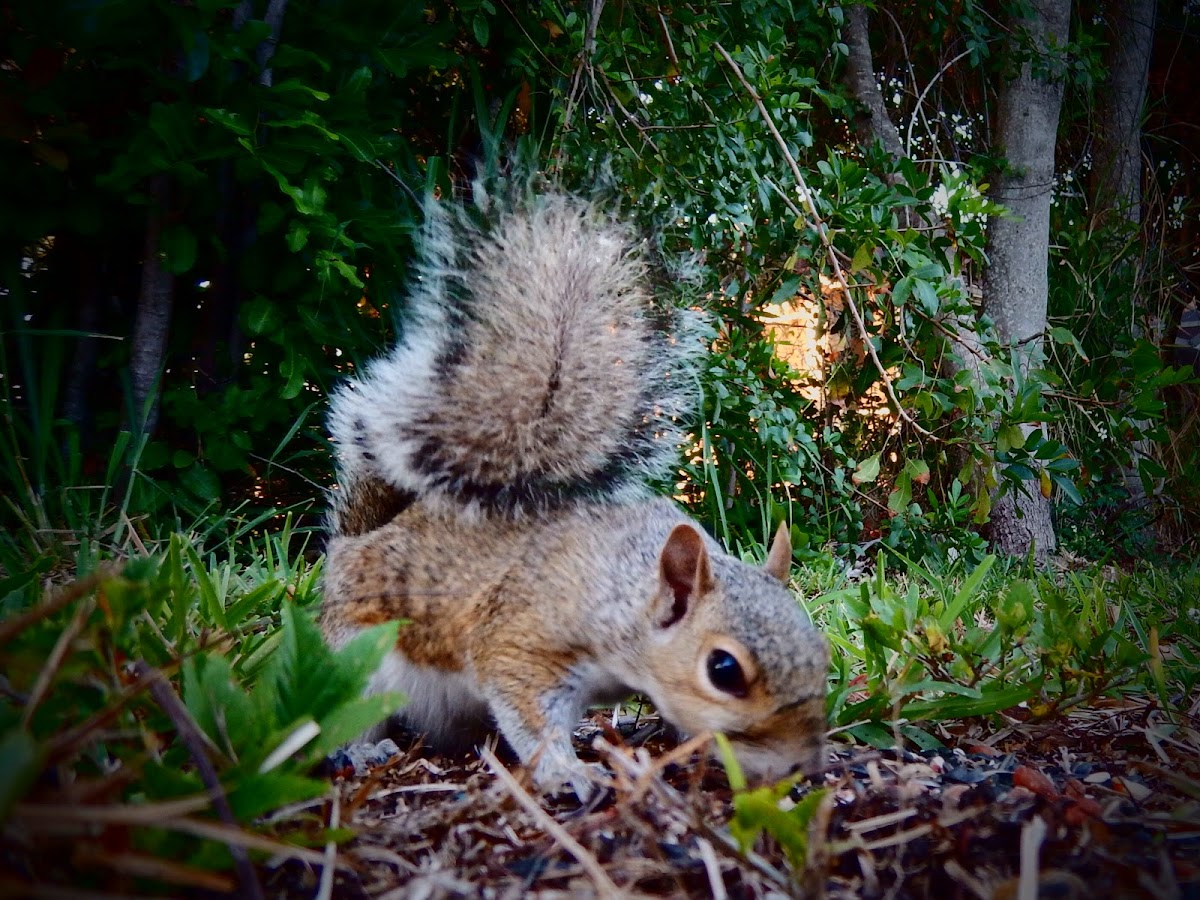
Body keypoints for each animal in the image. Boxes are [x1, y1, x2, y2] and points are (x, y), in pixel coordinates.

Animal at [314, 188, 830, 796]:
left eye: (820, 650)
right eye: (723, 670)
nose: (802, 766)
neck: (622, 590)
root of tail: (358, 543)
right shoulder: (521, 639)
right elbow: (529, 713)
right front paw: (569, 770)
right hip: (357, 667)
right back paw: (363, 751)